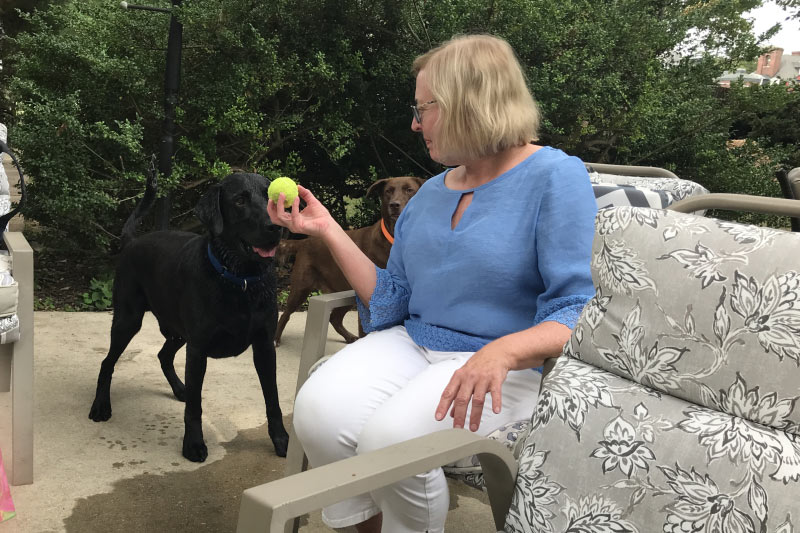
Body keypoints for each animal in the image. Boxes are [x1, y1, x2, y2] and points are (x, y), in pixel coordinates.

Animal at [276, 176, 424, 344]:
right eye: (388, 191)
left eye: (409, 190)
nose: (394, 204)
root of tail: (304, 241)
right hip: (301, 289)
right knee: (286, 314)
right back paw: (276, 339)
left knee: (335, 318)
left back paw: (349, 337)